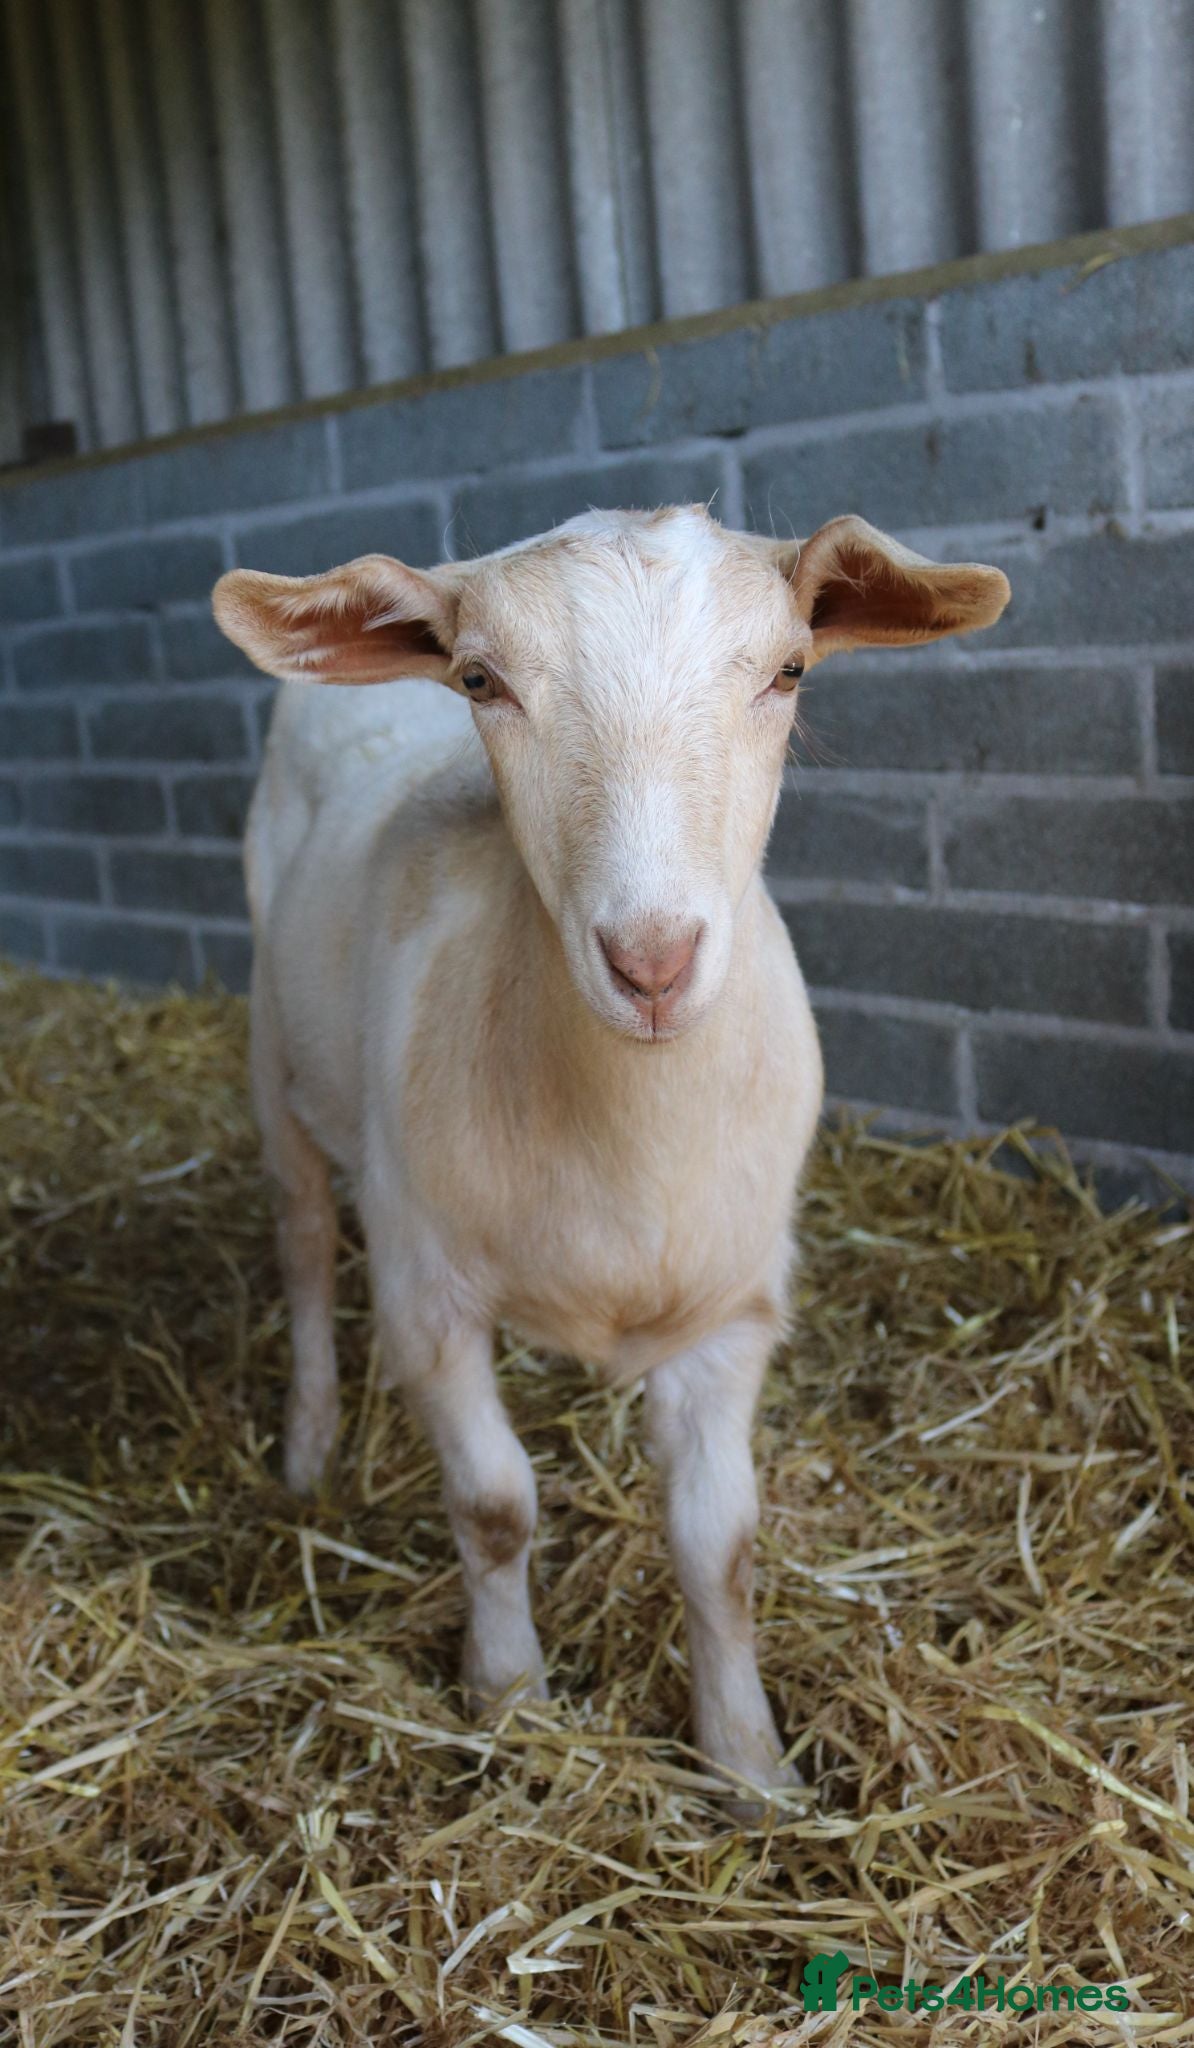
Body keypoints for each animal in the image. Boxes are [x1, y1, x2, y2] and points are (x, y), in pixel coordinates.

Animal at [213, 506, 1009, 1798]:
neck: (625, 1129)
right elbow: (494, 1503)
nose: (651, 960)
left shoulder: (731, 1309)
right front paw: (509, 1696)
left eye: (790, 670)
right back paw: (308, 1447)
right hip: (274, 1053)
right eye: (480, 680)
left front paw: (752, 1767)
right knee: (303, 1248)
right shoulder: (428, 1286)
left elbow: (720, 1542)